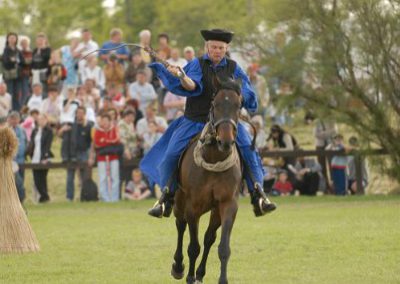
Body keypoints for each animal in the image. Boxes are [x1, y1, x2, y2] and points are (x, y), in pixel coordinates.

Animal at [170, 79, 242, 284]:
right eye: (215, 105)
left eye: (238, 105)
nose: (226, 141)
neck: (213, 157)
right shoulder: (192, 207)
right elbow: (193, 247)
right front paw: (189, 276)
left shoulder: (227, 204)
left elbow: (222, 246)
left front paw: (221, 279)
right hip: (179, 201)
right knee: (180, 225)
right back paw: (178, 266)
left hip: (214, 210)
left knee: (209, 237)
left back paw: (200, 273)